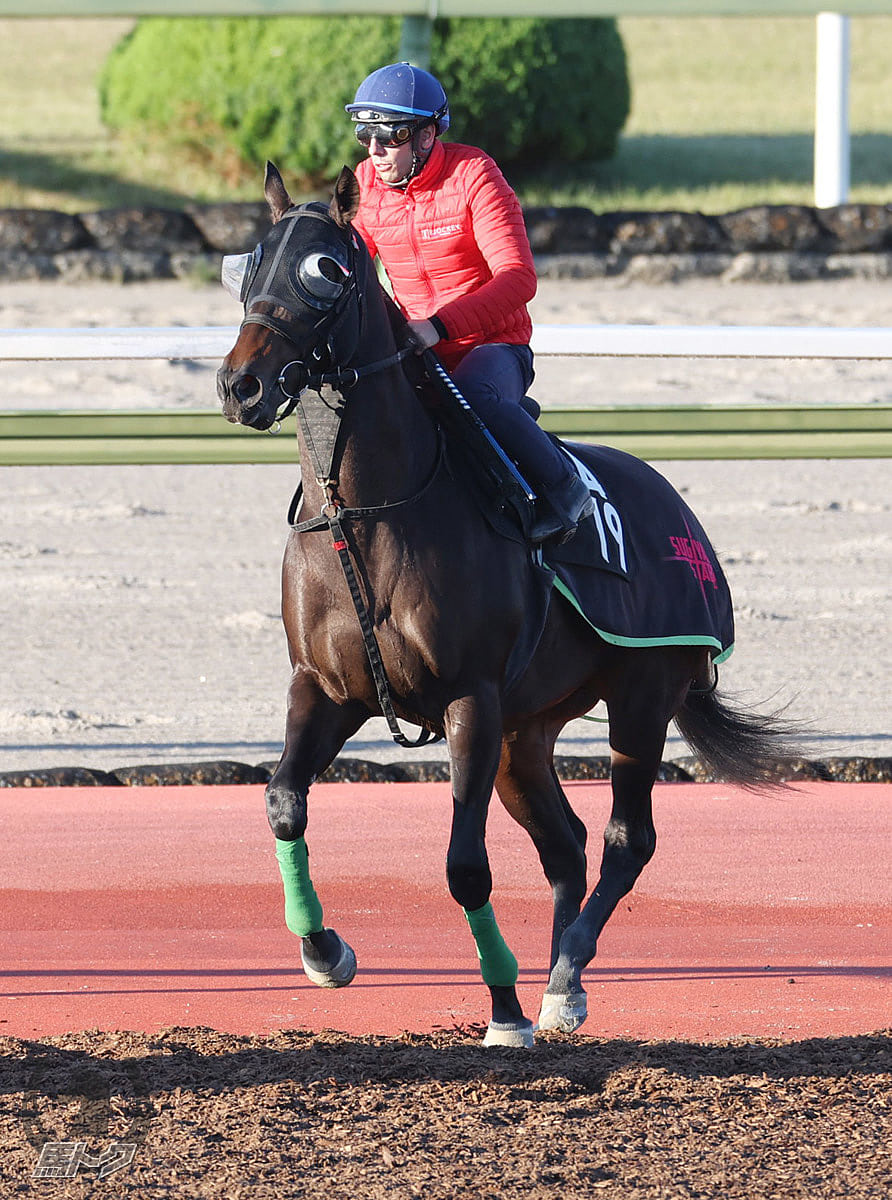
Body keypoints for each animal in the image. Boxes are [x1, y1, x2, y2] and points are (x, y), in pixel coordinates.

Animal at [216, 164, 797, 1046]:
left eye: (327, 270)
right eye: (248, 265)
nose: (240, 384)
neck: (367, 513)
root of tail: (681, 515)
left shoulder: (471, 698)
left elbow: (464, 866)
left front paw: (505, 1006)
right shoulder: (326, 688)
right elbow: (284, 802)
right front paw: (324, 950)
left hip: (642, 695)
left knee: (627, 838)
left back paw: (559, 978)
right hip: (530, 732)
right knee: (567, 844)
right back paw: (568, 978)